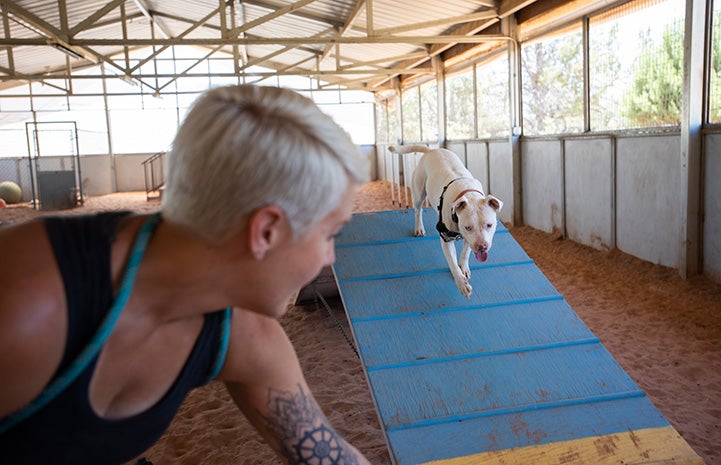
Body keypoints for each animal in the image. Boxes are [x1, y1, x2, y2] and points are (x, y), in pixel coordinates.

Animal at [388, 145, 500, 298]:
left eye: (489, 225)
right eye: (468, 227)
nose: (482, 246)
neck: (467, 194)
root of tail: (431, 151)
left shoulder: (469, 240)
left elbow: (465, 252)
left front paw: (464, 267)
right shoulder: (446, 239)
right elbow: (452, 263)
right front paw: (461, 283)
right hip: (418, 193)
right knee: (418, 210)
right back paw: (419, 228)